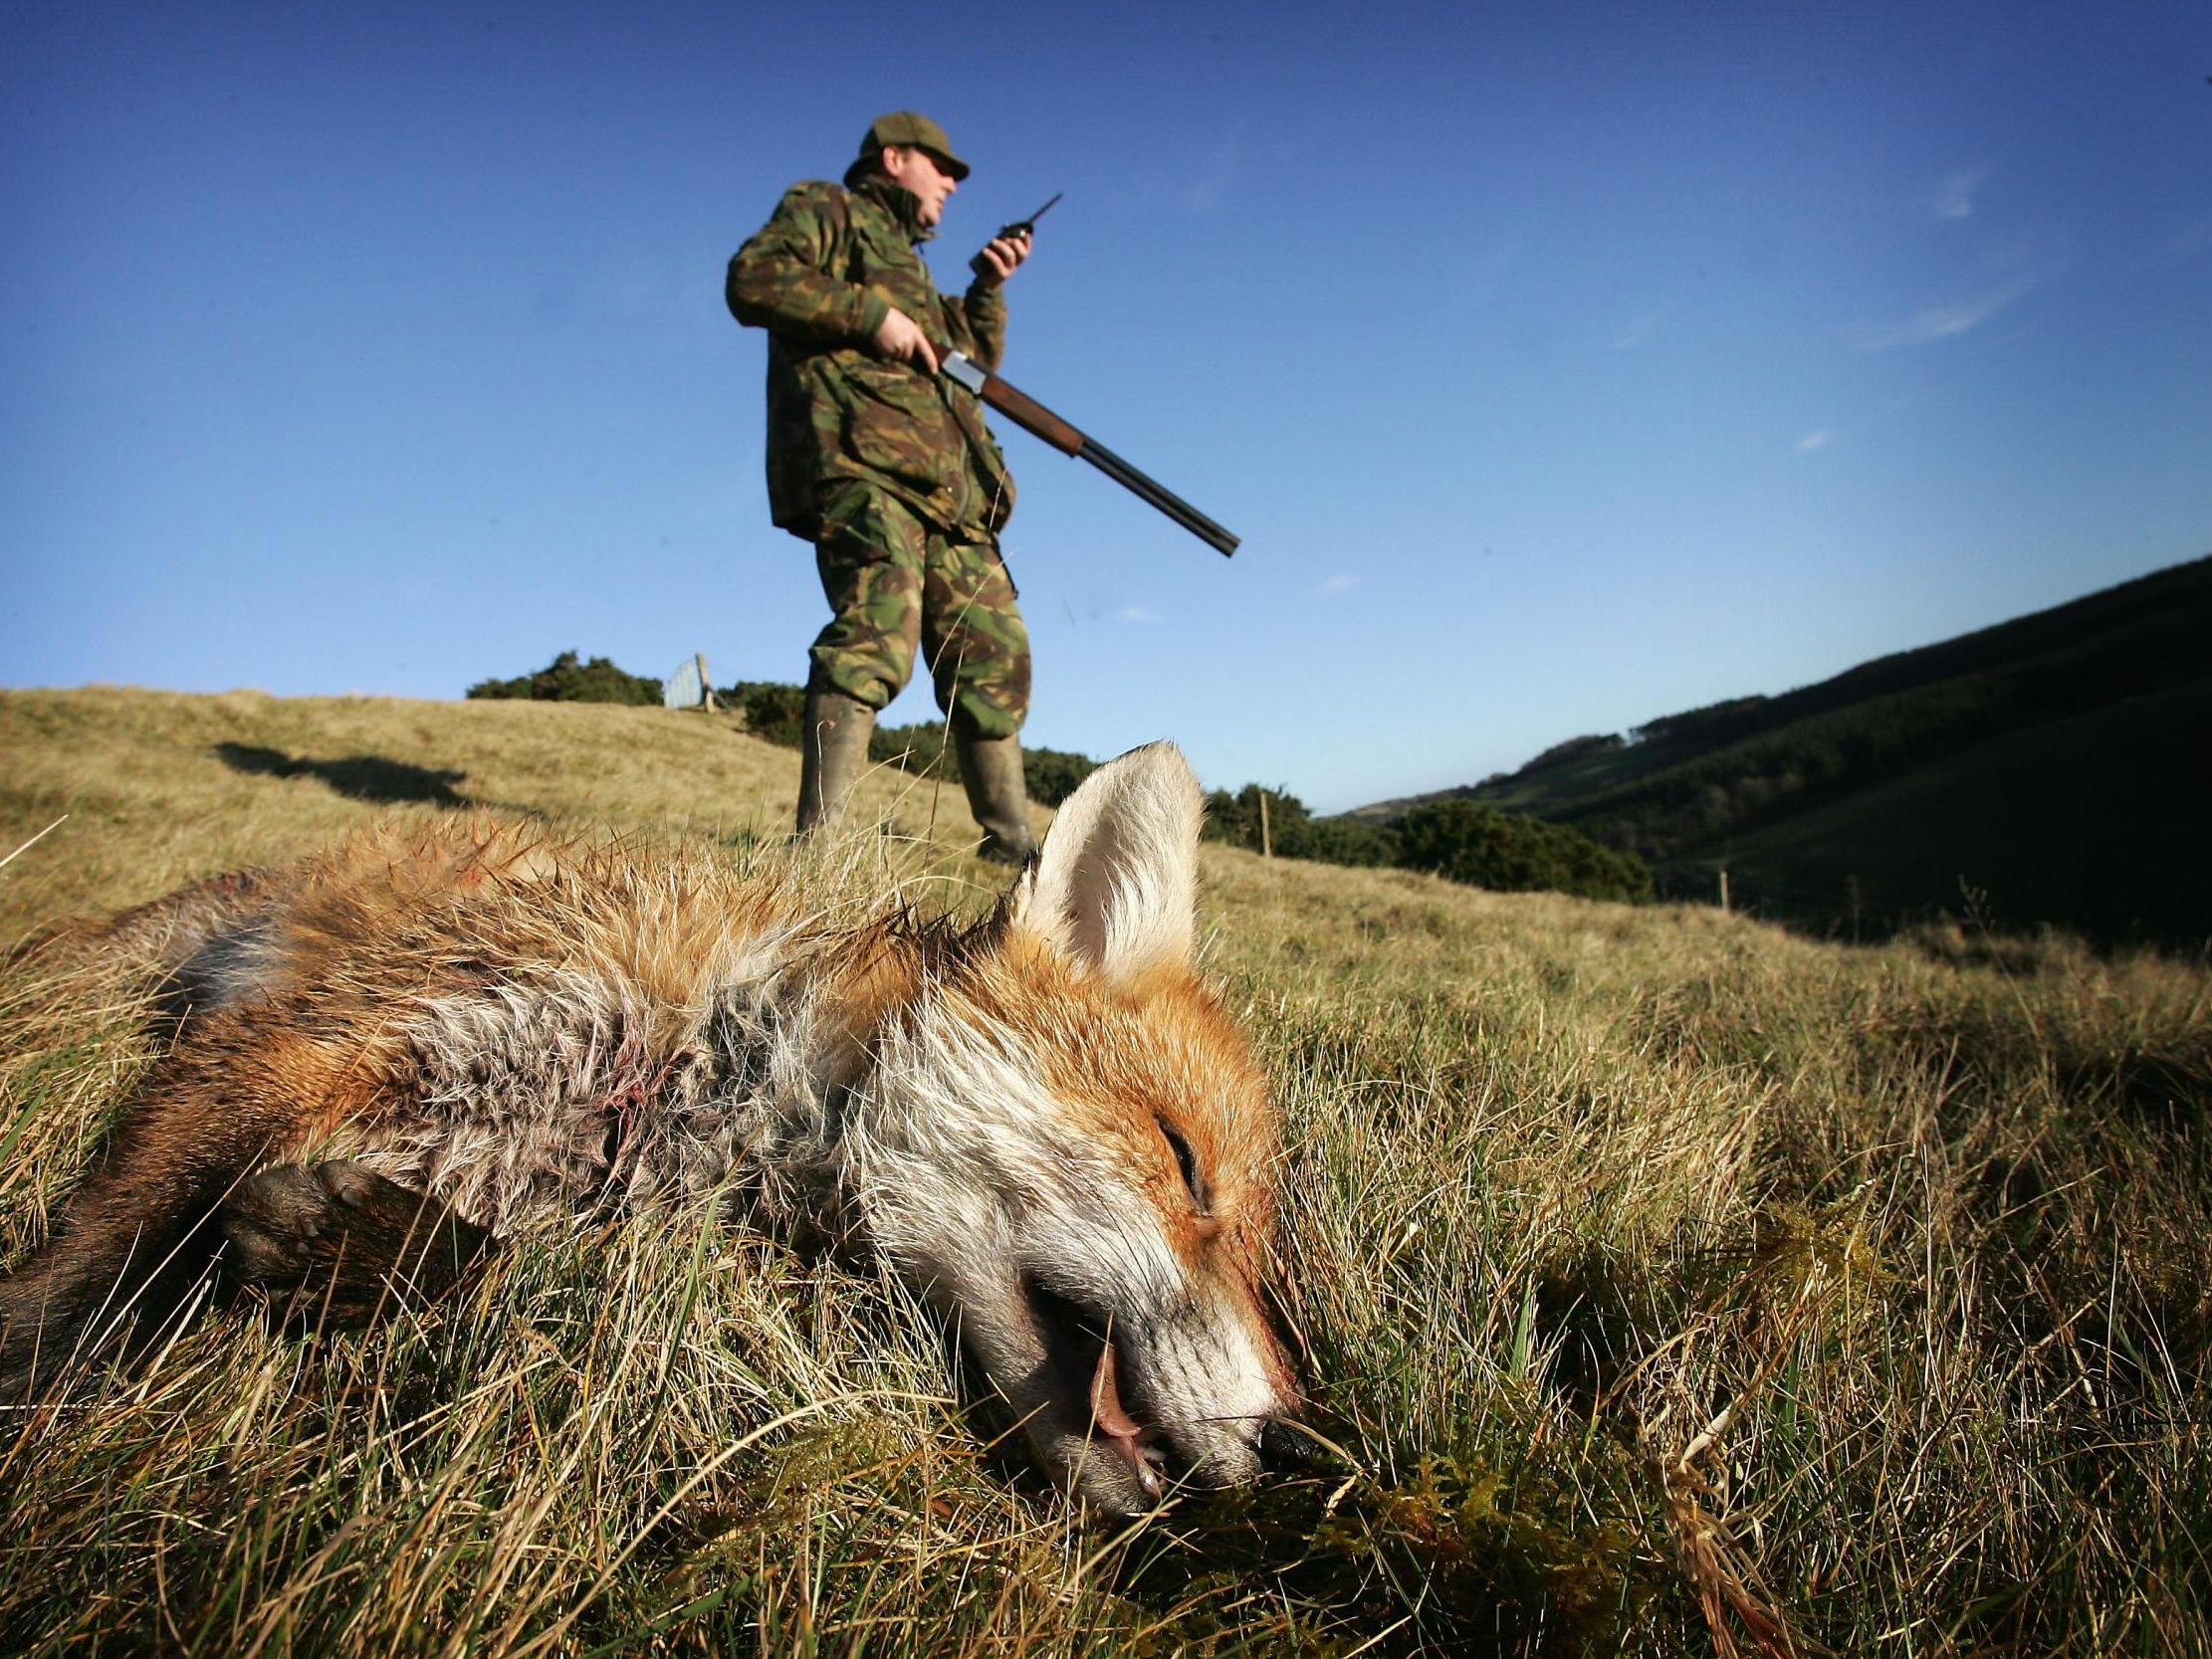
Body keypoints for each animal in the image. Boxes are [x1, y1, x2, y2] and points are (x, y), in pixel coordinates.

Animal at [0, 747, 1300, 1513]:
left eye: (1262, 1250)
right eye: (1183, 1160)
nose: (1293, 1443)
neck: (715, 1076)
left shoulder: (567, 1199)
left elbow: (475, 1261)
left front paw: (342, 1250)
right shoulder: (311, 1042)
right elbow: (91, 1273)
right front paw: (31, 1384)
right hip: (121, 970)